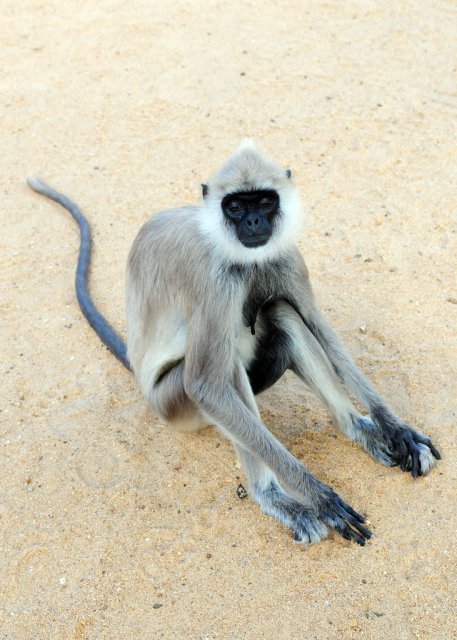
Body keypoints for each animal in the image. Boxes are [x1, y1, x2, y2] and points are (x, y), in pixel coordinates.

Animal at [27, 142, 438, 548]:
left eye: (265, 202)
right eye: (236, 206)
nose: (253, 223)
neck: (245, 257)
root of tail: (145, 388)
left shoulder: (286, 256)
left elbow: (318, 326)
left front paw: (397, 430)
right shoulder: (215, 280)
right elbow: (205, 386)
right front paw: (319, 497)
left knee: (282, 312)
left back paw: (357, 429)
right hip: (173, 404)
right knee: (223, 371)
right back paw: (273, 497)